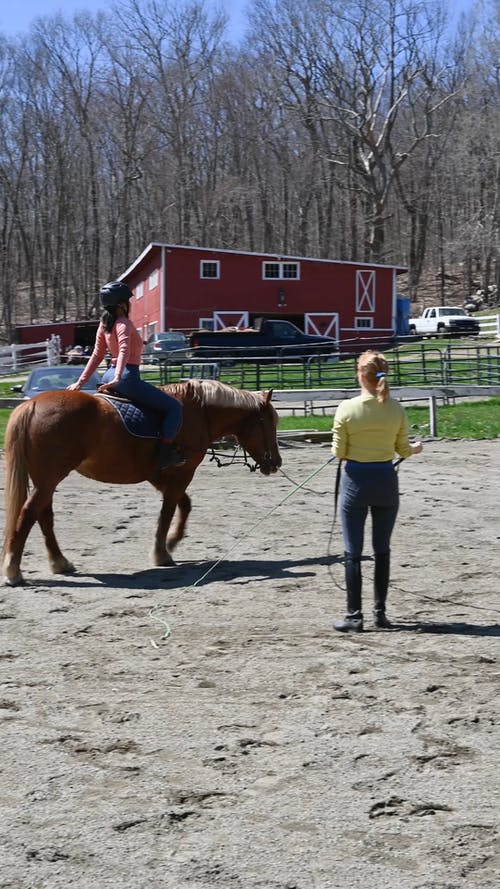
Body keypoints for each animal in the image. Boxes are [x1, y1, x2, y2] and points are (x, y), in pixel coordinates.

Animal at [1, 380, 282, 584]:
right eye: (270, 422)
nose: (276, 462)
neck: (198, 411)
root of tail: (32, 404)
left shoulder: (160, 475)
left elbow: (184, 504)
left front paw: (172, 541)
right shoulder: (182, 472)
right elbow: (168, 511)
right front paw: (162, 552)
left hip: (44, 480)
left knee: (44, 516)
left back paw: (59, 562)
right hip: (49, 478)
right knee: (29, 514)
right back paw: (14, 570)